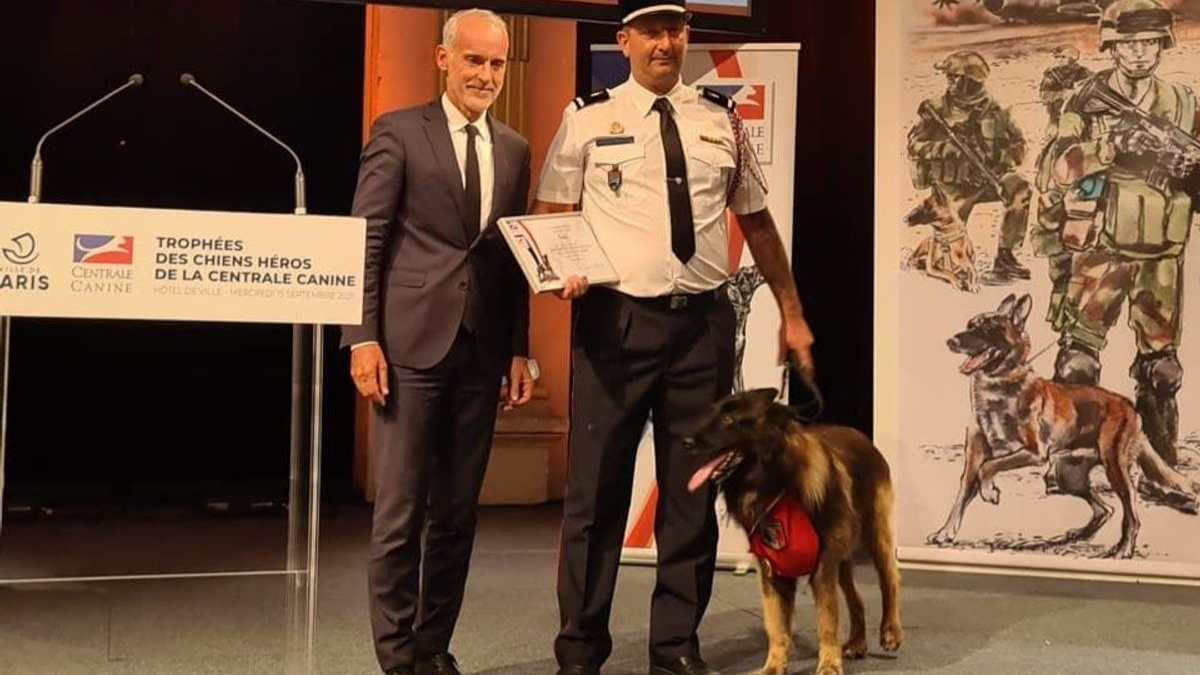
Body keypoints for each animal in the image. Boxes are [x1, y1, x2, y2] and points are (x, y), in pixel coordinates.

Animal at [686, 386, 902, 672]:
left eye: (729, 420)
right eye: (712, 414)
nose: (686, 441)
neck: (773, 483)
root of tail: (862, 437)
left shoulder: (822, 566)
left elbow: (827, 621)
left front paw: (828, 664)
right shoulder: (772, 570)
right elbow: (776, 626)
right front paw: (774, 666)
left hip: (874, 533)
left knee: (889, 578)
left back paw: (890, 631)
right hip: (843, 556)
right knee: (856, 598)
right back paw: (857, 642)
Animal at [926, 293, 1200, 557]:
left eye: (988, 328)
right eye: (970, 325)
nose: (951, 341)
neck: (999, 387)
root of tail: (1130, 406)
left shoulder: (1033, 453)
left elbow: (989, 466)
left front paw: (989, 491)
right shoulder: (974, 459)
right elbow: (965, 491)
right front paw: (946, 532)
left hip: (1114, 468)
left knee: (1130, 510)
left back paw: (1123, 548)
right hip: (1068, 475)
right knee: (1106, 509)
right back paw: (1079, 534)